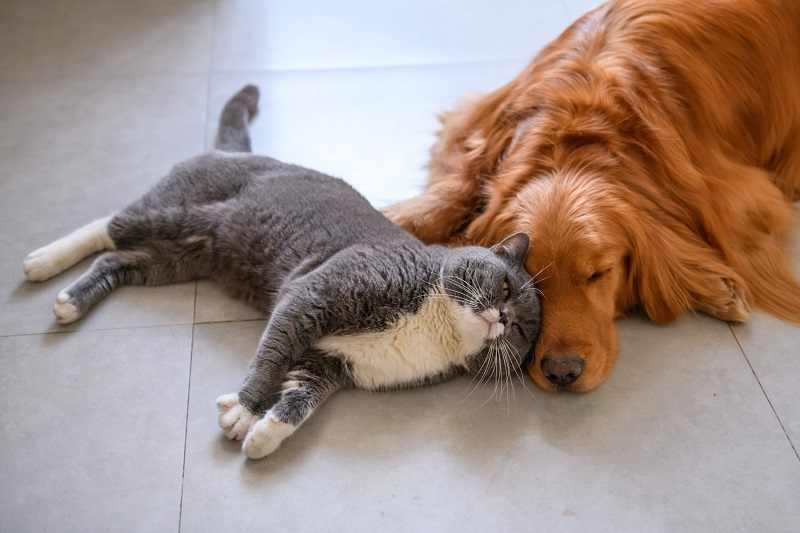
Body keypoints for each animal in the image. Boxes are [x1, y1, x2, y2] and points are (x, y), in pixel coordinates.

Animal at [21, 84, 544, 458]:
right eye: (503, 286)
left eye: (521, 329)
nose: (500, 317)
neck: (438, 329)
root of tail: (238, 152)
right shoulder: (318, 293)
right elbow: (272, 354)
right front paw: (243, 409)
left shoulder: (329, 365)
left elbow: (300, 398)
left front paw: (265, 434)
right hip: (179, 211)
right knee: (109, 225)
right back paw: (43, 262)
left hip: (180, 258)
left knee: (117, 261)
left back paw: (70, 302)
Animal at [382, 0, 800, 390]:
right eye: (531, 279)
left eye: (599, 274)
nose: (562, 372)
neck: (575, 134)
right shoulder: (478, 132)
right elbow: (454, 189)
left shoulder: (731, 190)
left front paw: (713, 285)